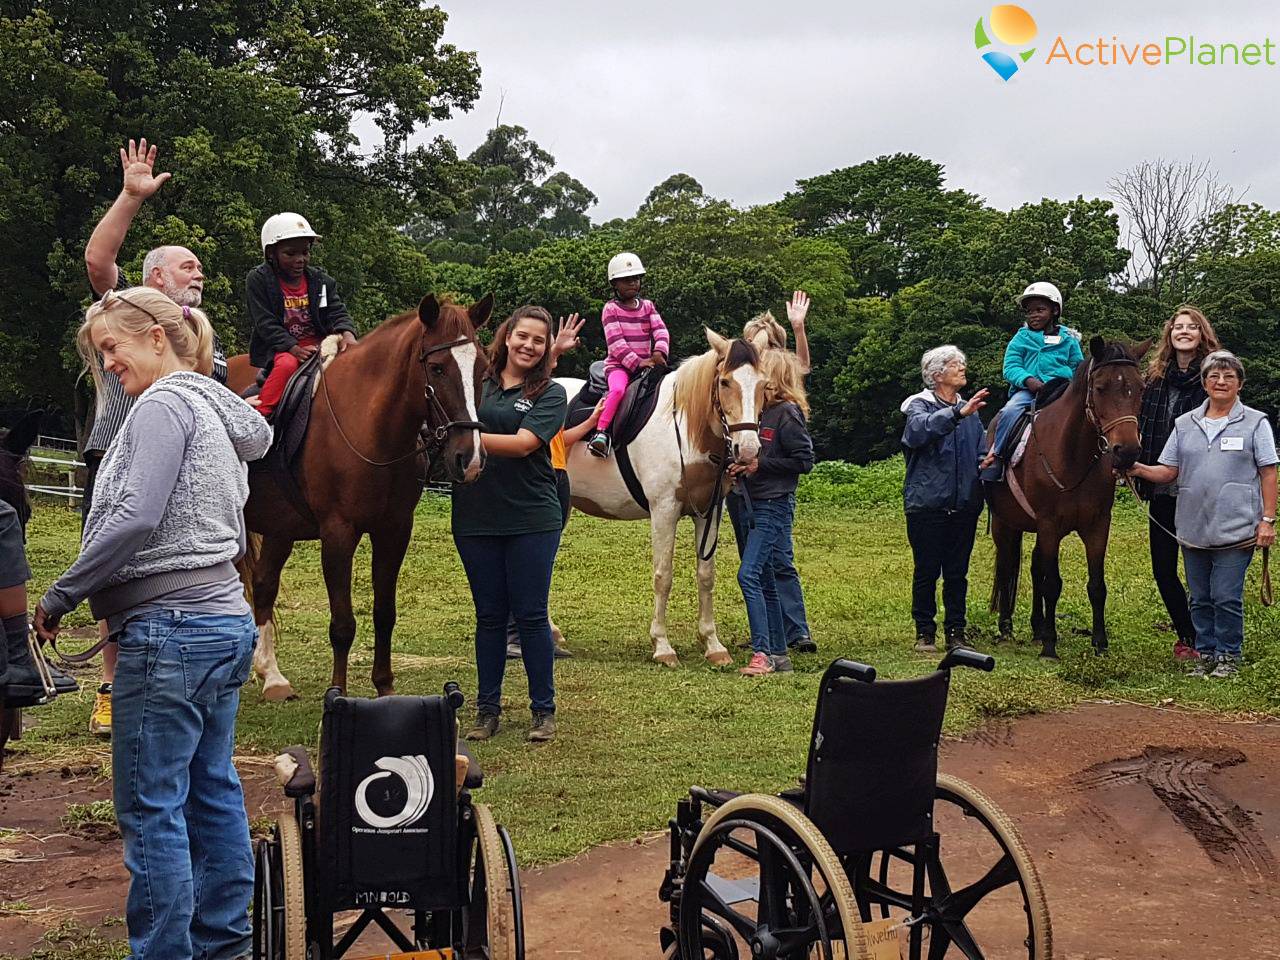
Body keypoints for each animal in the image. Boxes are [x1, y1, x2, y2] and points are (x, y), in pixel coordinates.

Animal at [227, 293, 491, 701]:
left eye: (483, 369)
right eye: (436, 368)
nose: (471, 458)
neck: (368, 426)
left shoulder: (394, 531)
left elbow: (385, 613)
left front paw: (385, 689)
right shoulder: (338, 534)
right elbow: (342, 624)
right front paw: (337, 694)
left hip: (279, 527)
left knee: (264, 584)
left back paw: (271, 675)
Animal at [558, 330, 757, 670]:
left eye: (763, 383)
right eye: (725, 382)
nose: (748, 450)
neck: (686, 430)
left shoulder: (709, 512)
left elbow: (706, 576)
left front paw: (713, 645)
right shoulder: (664, 510)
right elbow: (663, 576)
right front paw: (662, 646)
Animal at [983, 335, 1157, 660]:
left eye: (1140, 388)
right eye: (1100, 387)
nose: (1127, 451)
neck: (1072, 455)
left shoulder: (1098, 526)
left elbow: (1096, 586)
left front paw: (1099, 642)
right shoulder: (1050, 525)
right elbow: (1052, 584)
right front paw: (1050, 646)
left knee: (1034, 567)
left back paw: (1037, 628)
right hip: (1005, 524)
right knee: (1007, 566)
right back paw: (1007, 629)